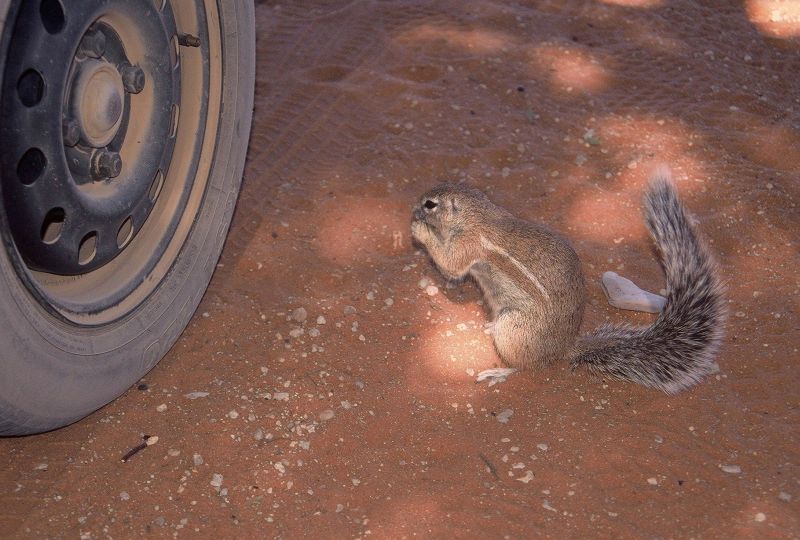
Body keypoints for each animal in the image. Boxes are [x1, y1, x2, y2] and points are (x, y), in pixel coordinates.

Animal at [410, 169, 726, 394]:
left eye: (430, 204)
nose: (414, 207)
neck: (477, 215)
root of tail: (563, 348)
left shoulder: (469, 244)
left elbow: (450, 264)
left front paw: (419, 229)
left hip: (513, 330)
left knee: (524, 367)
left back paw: (498, 371)